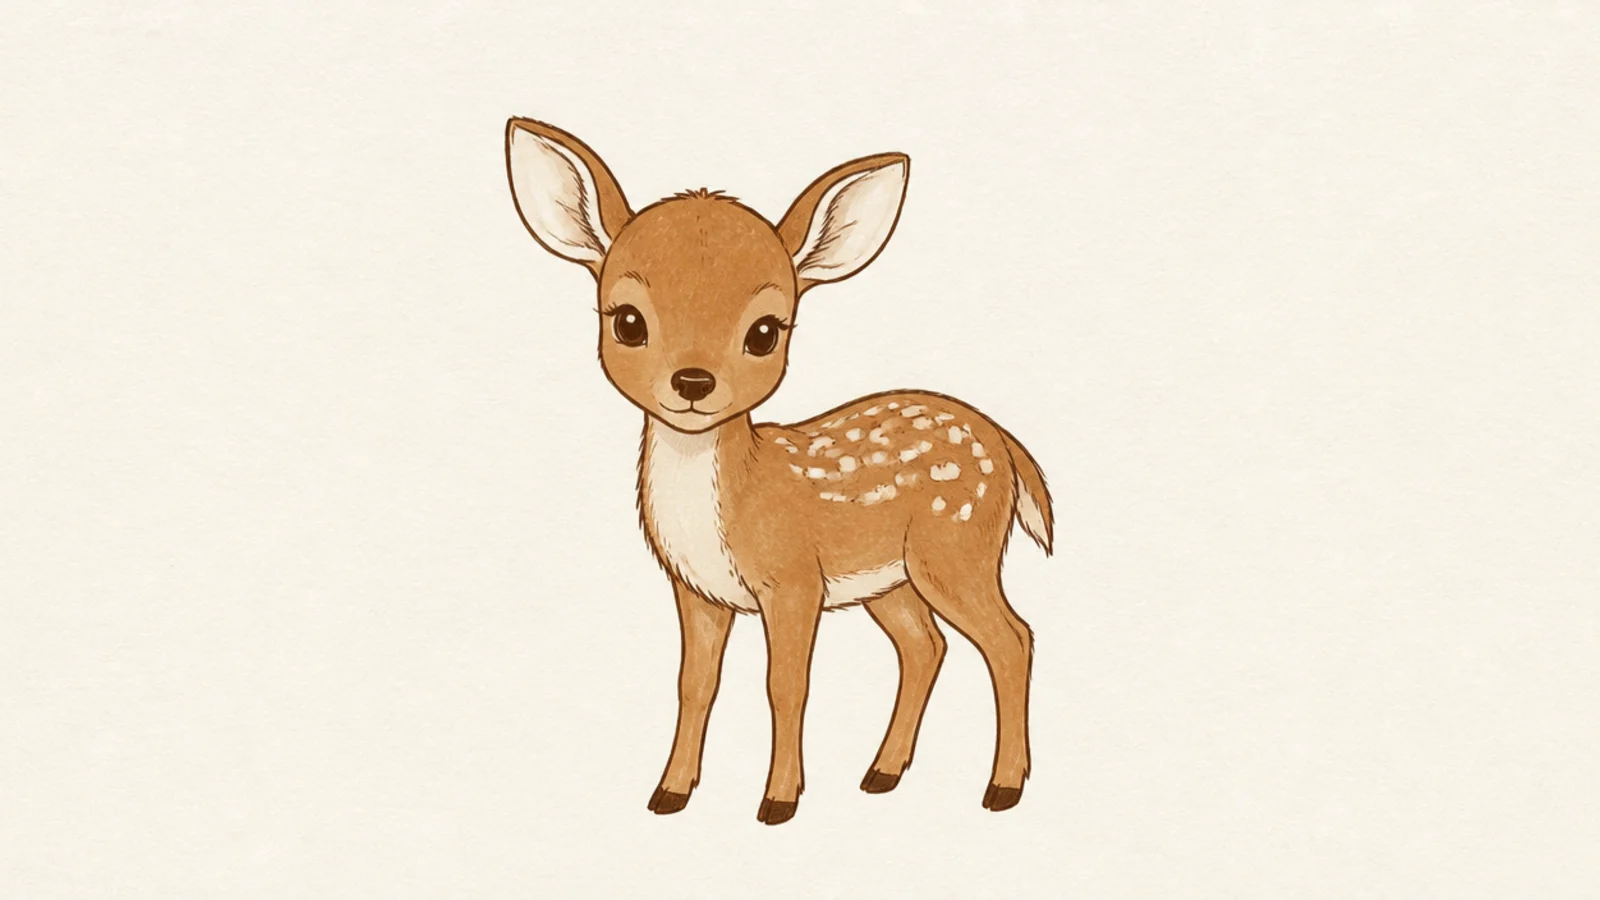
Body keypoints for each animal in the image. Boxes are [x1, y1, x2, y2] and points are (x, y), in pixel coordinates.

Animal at [504, 117, 1054, 825]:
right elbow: (695, 685)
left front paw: (779, 800)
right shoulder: (698, 590)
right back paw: (881, 773)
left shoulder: (793, 580)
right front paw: (670, 793)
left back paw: (1002, 788)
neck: (732, 499)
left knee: (1012, 639)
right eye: (627, 321)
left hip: (956, 547)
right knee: (925, 646)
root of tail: (1005, 443)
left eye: (765, 331)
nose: (692, 382)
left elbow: (786, 687)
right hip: (892, 576)